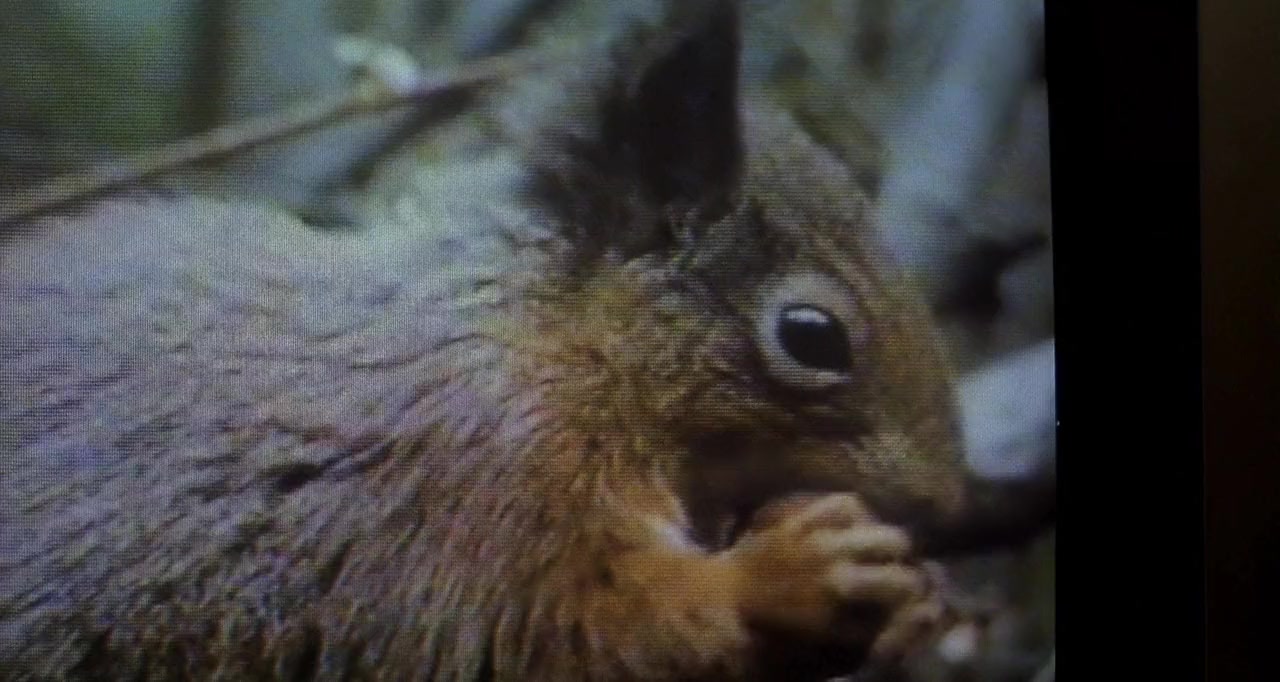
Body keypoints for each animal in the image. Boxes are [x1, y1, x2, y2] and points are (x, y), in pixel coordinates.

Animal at [0, 1, 972, 680]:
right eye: (812, 336)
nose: (945, 505)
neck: (555, 346)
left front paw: (919, 608)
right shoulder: (477, 491)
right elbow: (572, 630)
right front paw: (789, 577)